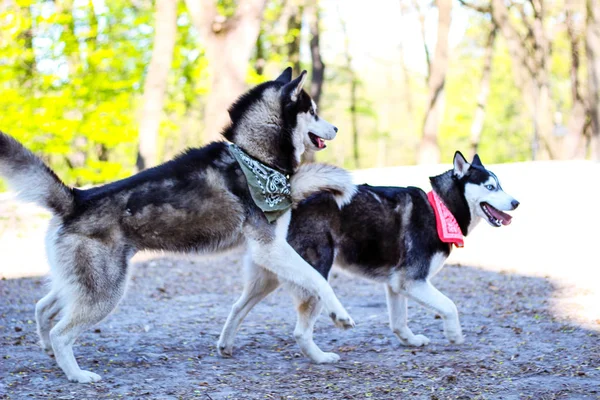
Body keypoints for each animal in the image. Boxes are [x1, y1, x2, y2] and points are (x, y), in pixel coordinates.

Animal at [0, 69, 356, 384]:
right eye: (313, 112)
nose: (337, 128)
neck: (255, 157)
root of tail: (76, 198)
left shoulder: (268, 253)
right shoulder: (270, 249)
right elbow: (319, 281)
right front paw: (339, 315)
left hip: (80, 283)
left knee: (43, 308)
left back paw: (49, 351)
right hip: (104, 292)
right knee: (61, 331)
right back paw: (76, 375)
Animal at [218, 152, 516, 364]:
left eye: (500, 185)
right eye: (490, 186)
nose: (516, 202)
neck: (441, 208)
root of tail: (289, 204)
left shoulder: (396, 284)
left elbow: (399, 322)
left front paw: (410, 341)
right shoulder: (412, 281)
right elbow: (450, 306)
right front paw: (454, 335)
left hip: (267, 279)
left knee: (237, 307)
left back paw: (225, 345)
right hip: (315, 277)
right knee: (301, 331)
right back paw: (321, 358)